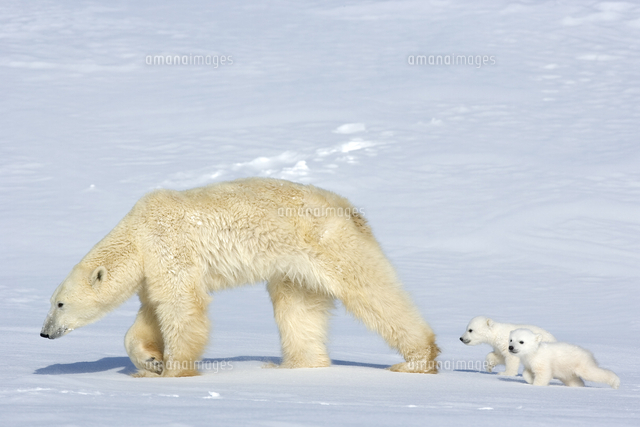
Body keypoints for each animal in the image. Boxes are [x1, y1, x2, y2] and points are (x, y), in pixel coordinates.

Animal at [41, 177, 440, 377]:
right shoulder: (152, 269)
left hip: (328, 243)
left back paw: (416, 360)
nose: (44, 333)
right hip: (294, 267)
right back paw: (293, 365)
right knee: (297, 308)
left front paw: (175, 371)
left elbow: (182, 306)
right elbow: (151, 314)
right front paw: (150, 362)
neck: (136, 234)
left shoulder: (169, 246)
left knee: (371, 291)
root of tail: (350, 209)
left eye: (59, 303)